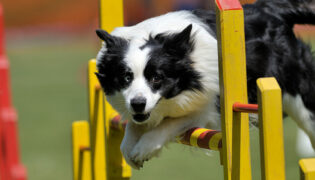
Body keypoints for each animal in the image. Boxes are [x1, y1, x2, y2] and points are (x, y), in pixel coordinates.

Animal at [95, 0, 315, 169]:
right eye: (126, 77)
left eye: (157, 77)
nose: (138, 104)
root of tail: (270, 9)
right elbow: (133, 126)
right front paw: (129, 147)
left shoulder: (207, 106)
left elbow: (169, 123)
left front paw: (144, 148)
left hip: (298, 96)